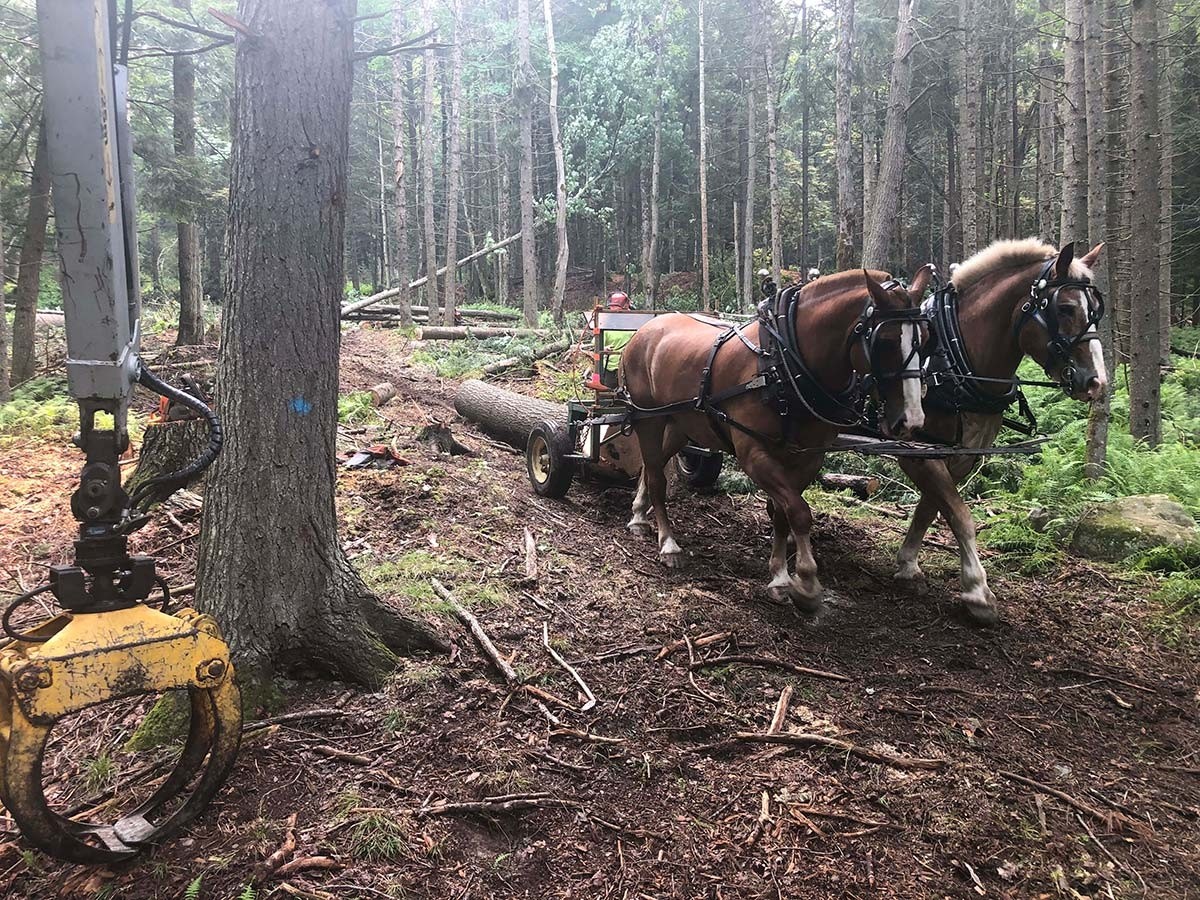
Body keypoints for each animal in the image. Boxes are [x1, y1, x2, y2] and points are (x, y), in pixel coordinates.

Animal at [619, 267, 936, 619]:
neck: (784, 364)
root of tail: (645, 329)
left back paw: (638, 513)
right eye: (884, 340)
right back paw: (668, 543)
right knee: (657, 477)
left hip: (680, 425)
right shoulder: (754, 453)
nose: (911, 420)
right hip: (648, 419)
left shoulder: (807, 456)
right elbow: (799, 511)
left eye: (925, 339)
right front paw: (807, 584)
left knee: (652, 466)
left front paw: (781, 577)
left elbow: (784, 513)